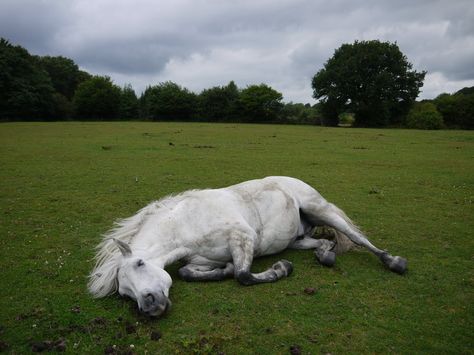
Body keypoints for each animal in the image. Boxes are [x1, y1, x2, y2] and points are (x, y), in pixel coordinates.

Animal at [89, 177, 408, 318]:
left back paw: (393, 261)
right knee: (325, 241)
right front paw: (225, 269)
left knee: (357, 237)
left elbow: (243, 275)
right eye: (124, 293)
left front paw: (280, 269)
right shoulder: (200, 261)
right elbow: (187, 273)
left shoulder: (243, 237)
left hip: (321, 209)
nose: (150, 306)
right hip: (299, 238)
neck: (185, 224)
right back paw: (324, 255)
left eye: (140, 263)